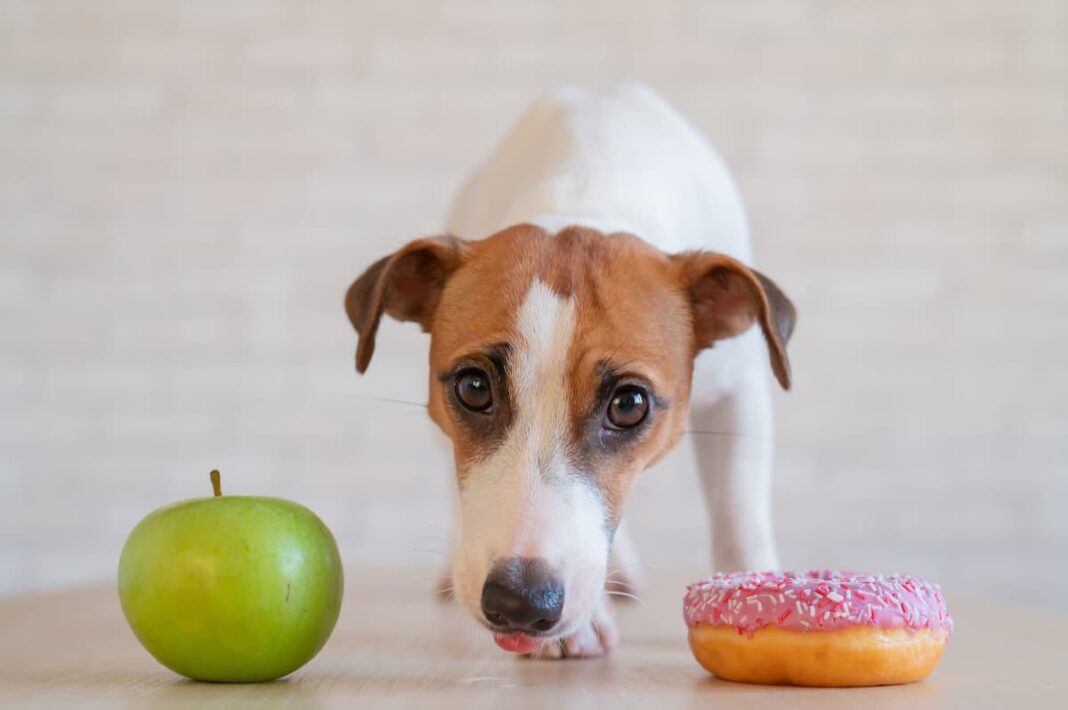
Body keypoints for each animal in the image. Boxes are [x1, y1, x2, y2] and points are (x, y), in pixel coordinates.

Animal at [343, 84, 794, 657]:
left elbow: (739, 511)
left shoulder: (737, 394)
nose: (519, 602)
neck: (587, 191)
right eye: (473, 388)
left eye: (630, 404)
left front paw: (757, 596)